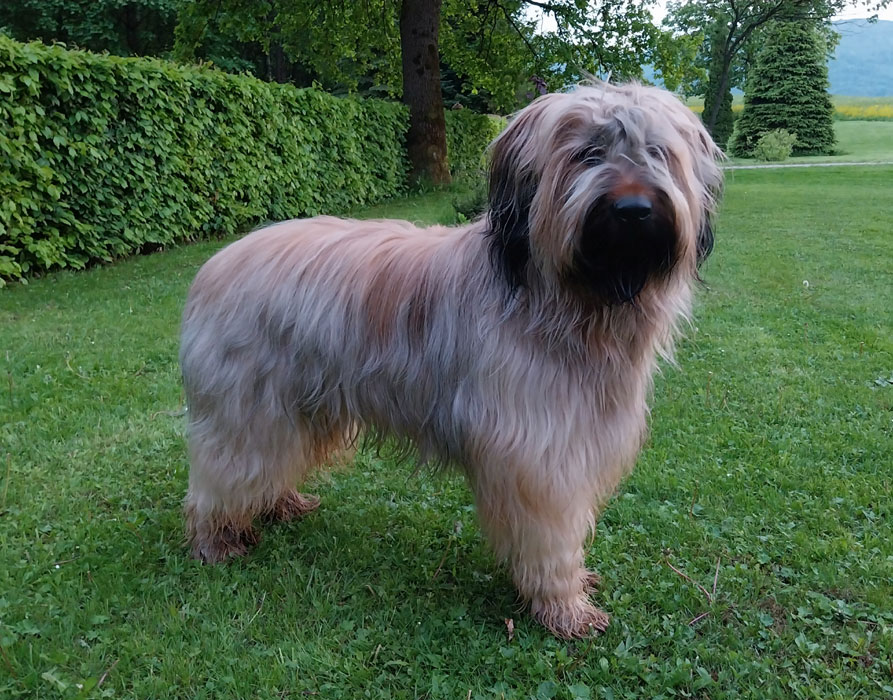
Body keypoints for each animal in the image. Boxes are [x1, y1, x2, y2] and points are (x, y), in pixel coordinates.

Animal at [179, 82, 723, 639]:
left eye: (657, 152)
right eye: (586, 155)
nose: (633, 209)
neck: (574, 304)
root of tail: (215, 266)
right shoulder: (539, 454)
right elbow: (550, 534)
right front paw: (564, 606)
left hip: (301, 403)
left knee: (276, 459)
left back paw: (280, 503)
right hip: (247, 408)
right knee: (224, 471)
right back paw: (216, 539)